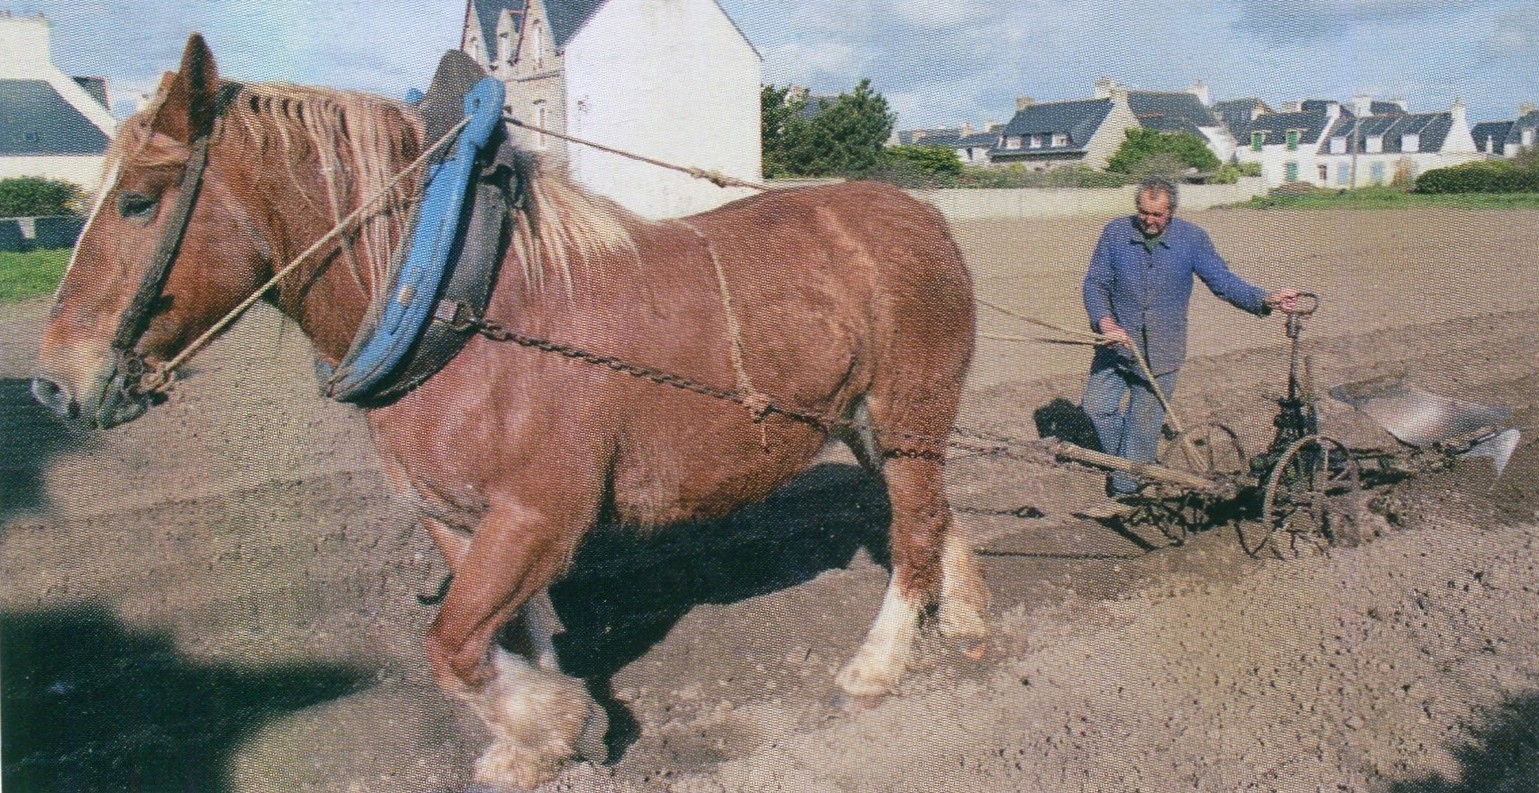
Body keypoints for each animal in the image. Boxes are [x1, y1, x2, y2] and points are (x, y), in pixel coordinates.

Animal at [33, 35, 985, 789]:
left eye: (140, 199)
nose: (51, 383)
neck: (460, 306)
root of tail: (922, 213)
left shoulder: (537, 513)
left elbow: (450, 647)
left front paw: (559, 723)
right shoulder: (455, 516)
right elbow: (501, 634)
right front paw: (531, 742)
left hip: (906, 412)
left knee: (910, 530)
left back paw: (876, 664)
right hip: (865, 424)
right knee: (935, 513)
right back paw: (967, 619)